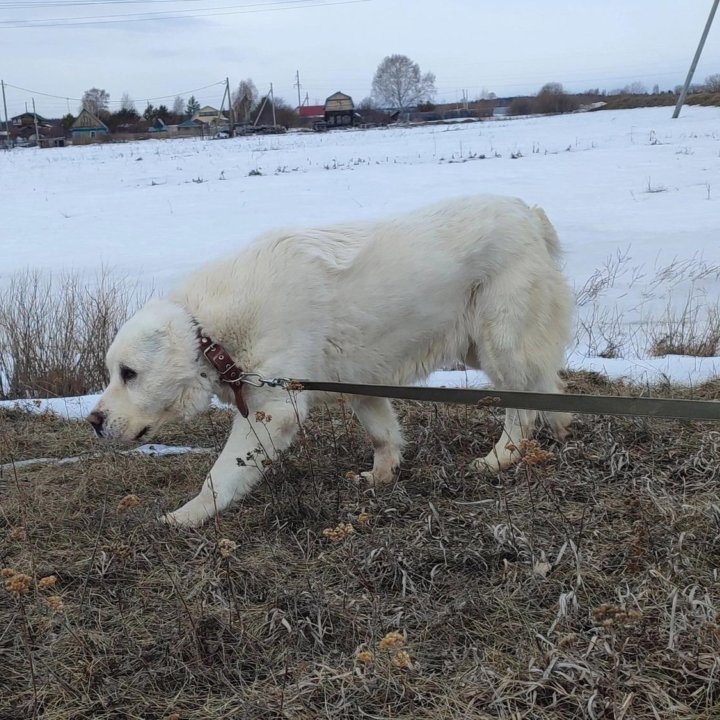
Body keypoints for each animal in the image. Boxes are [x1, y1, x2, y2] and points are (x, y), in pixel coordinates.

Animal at [88, 194, 572, 524]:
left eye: (129, 374)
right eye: (113, 373)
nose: (93, 421)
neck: (211, 334)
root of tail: (528, 213)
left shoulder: (274, 409)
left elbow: (218, 476)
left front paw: (186, 516)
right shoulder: (361, 381)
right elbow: (382, 435)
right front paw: (381, 477)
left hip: (500, 339)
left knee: (522, 408)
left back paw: (500, 458)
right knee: (549, 388)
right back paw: (557, 429)